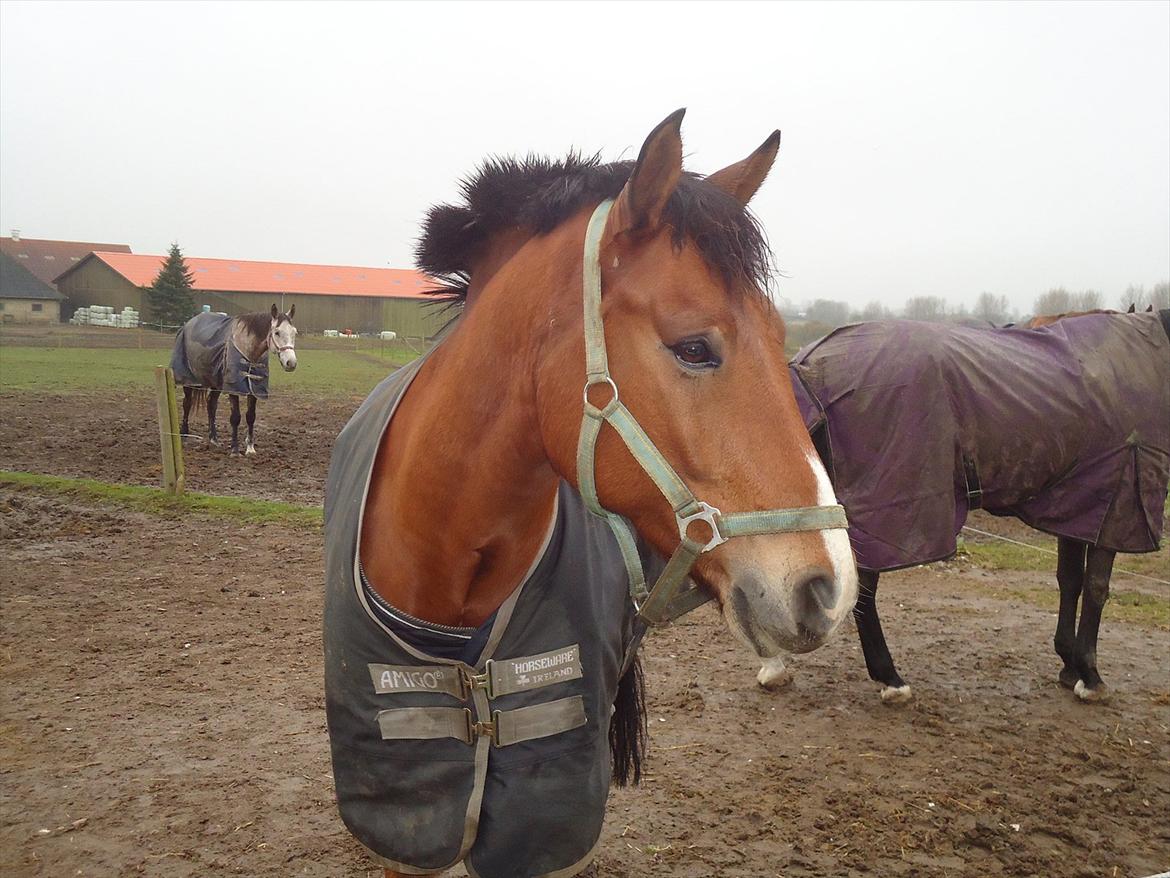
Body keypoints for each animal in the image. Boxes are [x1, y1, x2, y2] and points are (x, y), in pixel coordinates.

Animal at [169, 304, 298, 455]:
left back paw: (213, 439)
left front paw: (250, 448)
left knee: (211, 404)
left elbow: (250, 416)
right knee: (187, 403)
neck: (247, 349)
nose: (291, 363)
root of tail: (188, 324)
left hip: (216, 383)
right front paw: (235, 449)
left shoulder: (253, 388)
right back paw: (184, 435)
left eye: (294, 333)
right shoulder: (233, 389)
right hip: (189, 381)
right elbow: (235, 417)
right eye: (277, 332)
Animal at [756, 310, 1170, 703]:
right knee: (861, 590)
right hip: (881, 510)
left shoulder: (1079, 506)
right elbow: (1098, 587)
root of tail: (812, 361)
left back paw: (775, 668)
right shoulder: (1120, 502)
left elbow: (1070, 580)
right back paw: (890, 680)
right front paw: (1090, 676)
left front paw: (1069, 665)